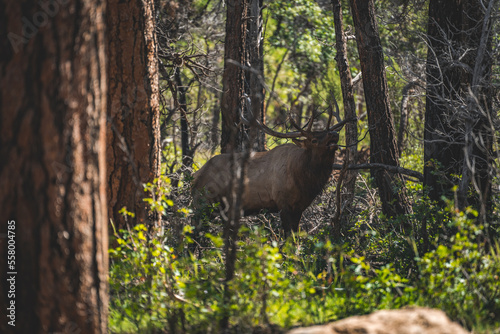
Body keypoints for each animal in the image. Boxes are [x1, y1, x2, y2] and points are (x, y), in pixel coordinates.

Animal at [191, 102, 352, 235]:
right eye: (314, 139)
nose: (334, 133)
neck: (305, 180)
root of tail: (195, 176)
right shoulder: (283, 204)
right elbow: (289, 237)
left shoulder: (299, 207)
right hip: (205, 201)